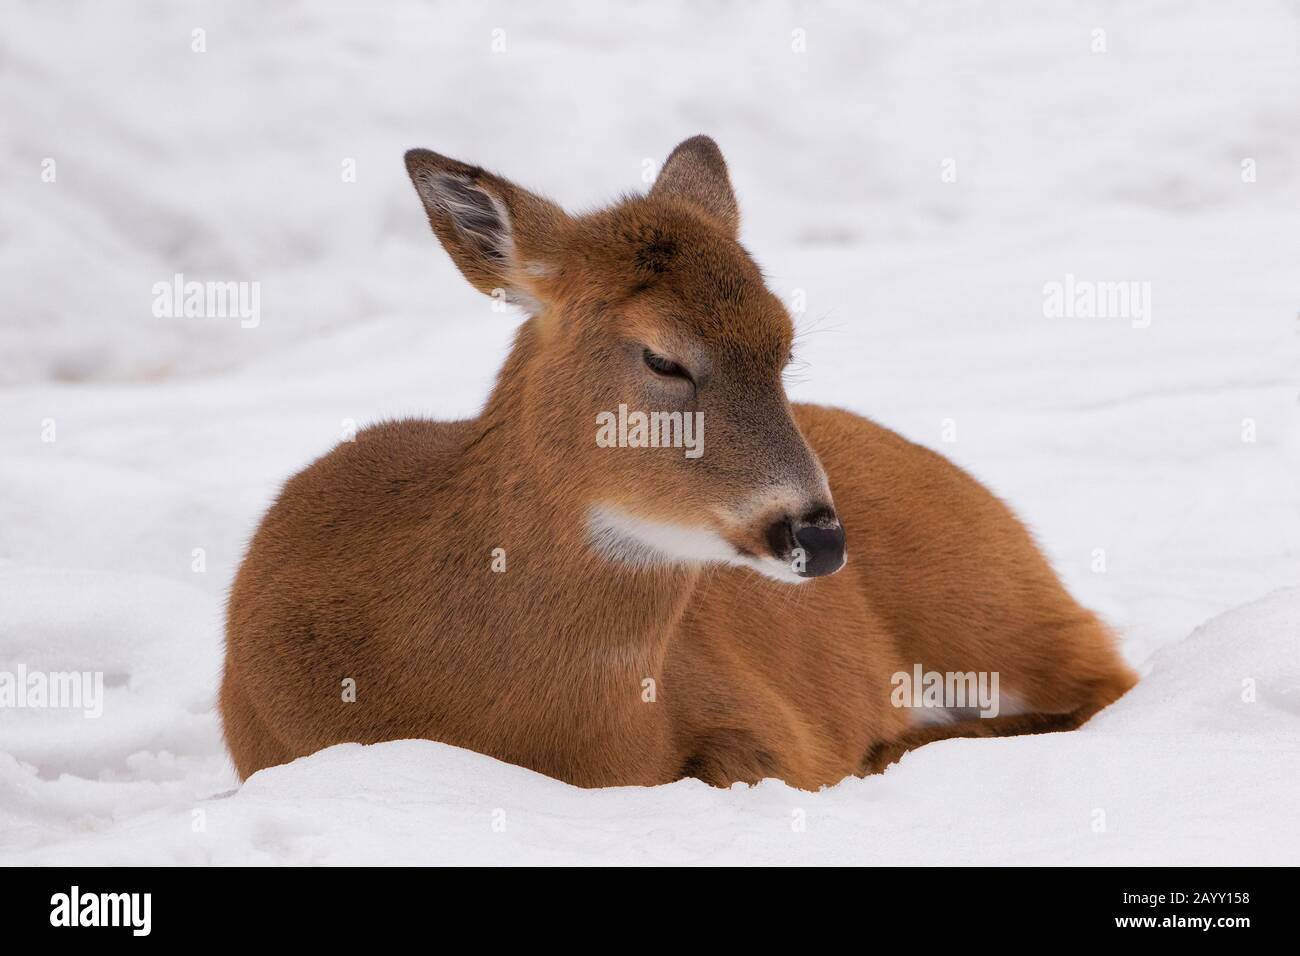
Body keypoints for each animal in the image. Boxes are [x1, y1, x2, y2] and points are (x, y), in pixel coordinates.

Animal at [223, 136, 1138, 790]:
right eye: (663, 358)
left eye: (783, 343)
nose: (820, 537)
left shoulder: (769, 730)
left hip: (991, 606)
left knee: (1105, 676)